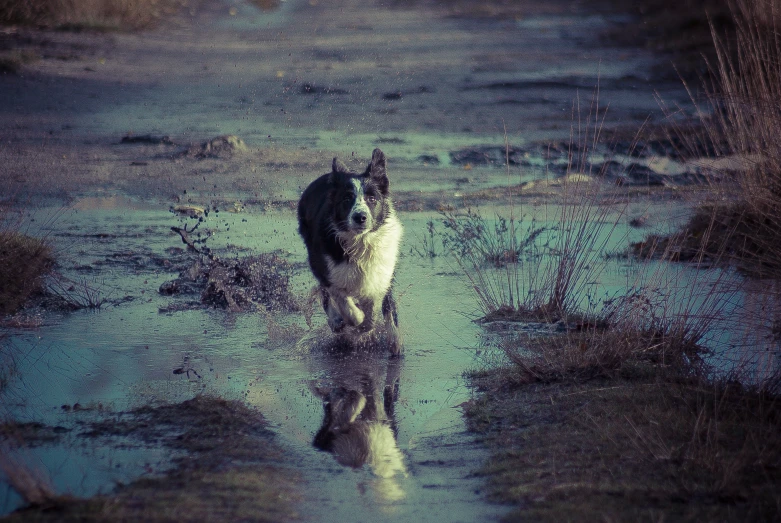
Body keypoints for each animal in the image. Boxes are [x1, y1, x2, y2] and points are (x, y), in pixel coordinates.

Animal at [294, 147, 400, 356]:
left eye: (372, 198)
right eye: (346, 198)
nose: (360, 217)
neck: (361, 242)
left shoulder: (382, 273)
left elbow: (379, 307)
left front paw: (388, 337)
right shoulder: (328, 269)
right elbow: (346, 303)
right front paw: (354, 322)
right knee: (326, 292)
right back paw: (336, 321)